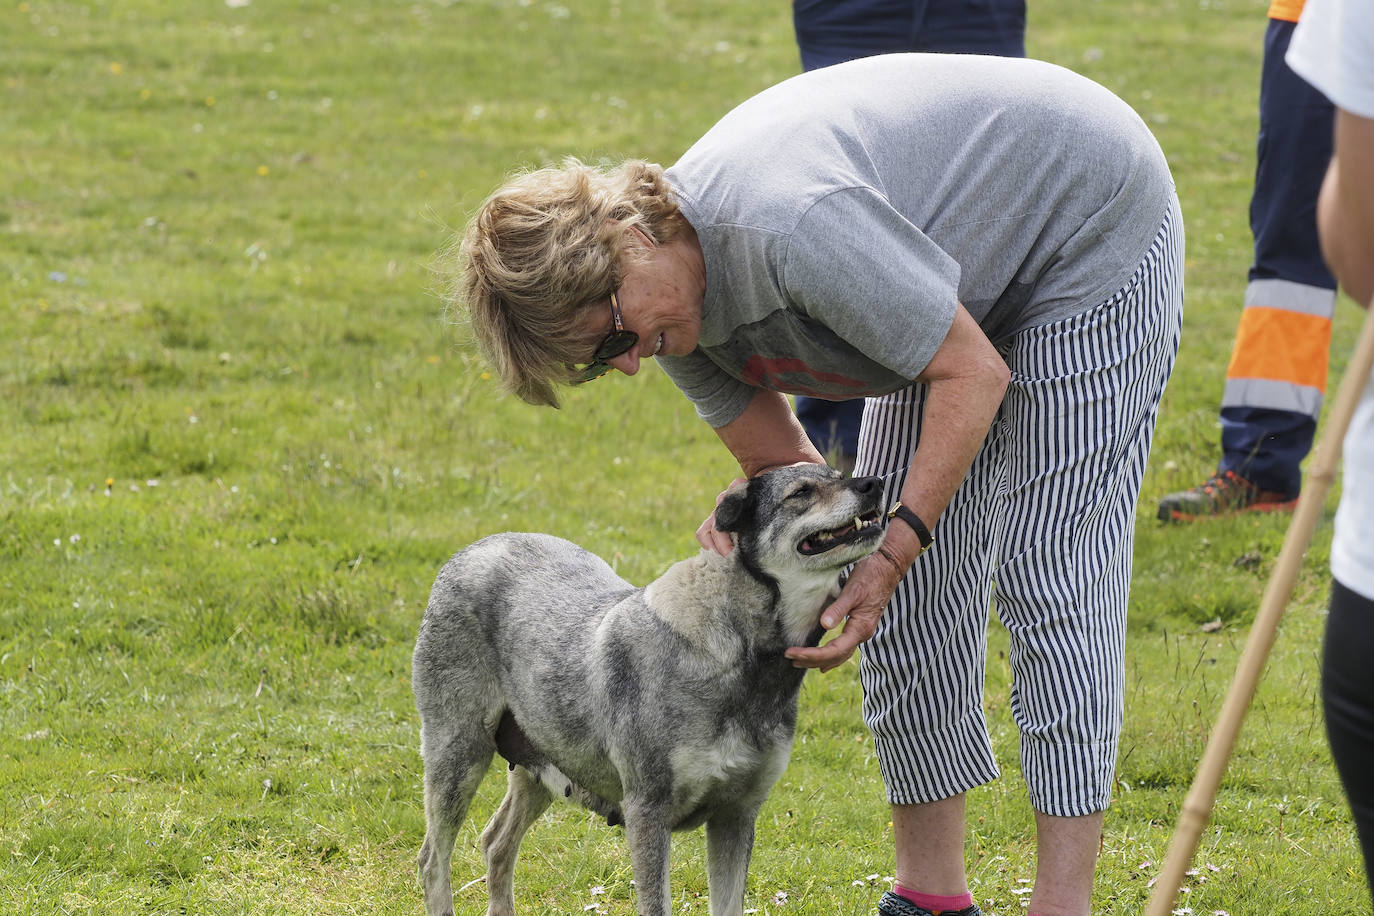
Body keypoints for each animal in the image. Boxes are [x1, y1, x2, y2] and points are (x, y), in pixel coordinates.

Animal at [412, 466, 884, 916]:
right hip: (458, 757)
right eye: (801, 492)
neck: (739, 654)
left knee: (496, 843)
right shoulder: (648, 814)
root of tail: (469, 552)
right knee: (433, 858)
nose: (874, 483)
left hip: (539, 768)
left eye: (837, 475)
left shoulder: (736, 816)